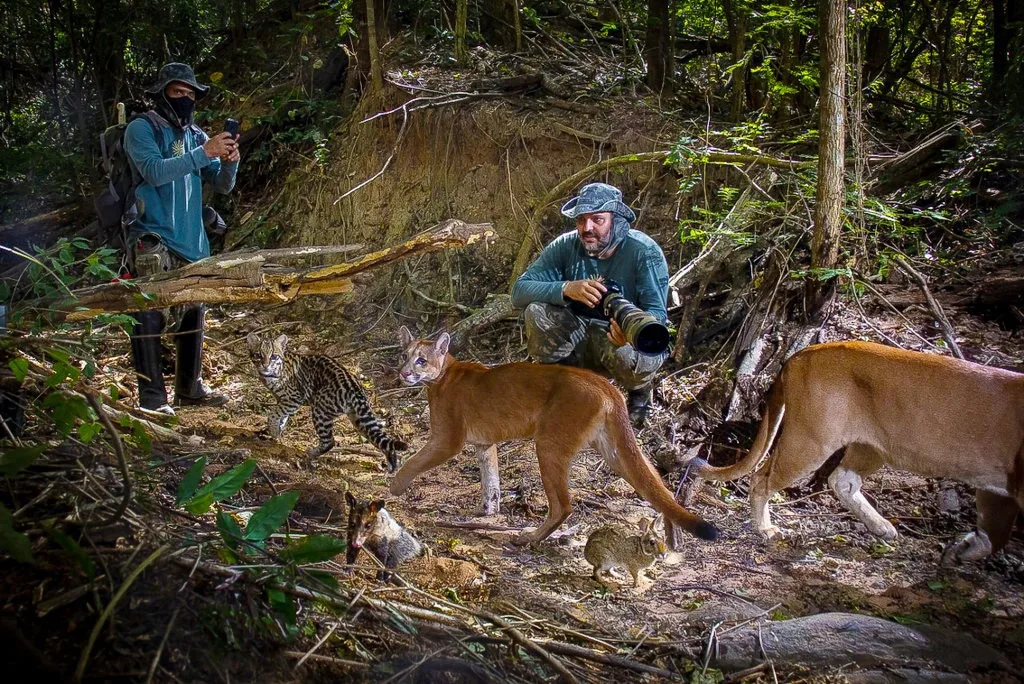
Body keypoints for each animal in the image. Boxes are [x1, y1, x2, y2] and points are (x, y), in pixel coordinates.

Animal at [247, 331, 407, 471]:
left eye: (273, 356)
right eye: (258, 355)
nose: (265, 365)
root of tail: (355, 389)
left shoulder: (294, 398)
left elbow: (274, 414)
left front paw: (274, 431)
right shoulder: (282, 400)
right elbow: (282, 417)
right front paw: (277, 433)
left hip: (320, 410)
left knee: (330, 441)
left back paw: (309, 456)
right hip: (357, 418)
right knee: (379, 437)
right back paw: (392, 463)